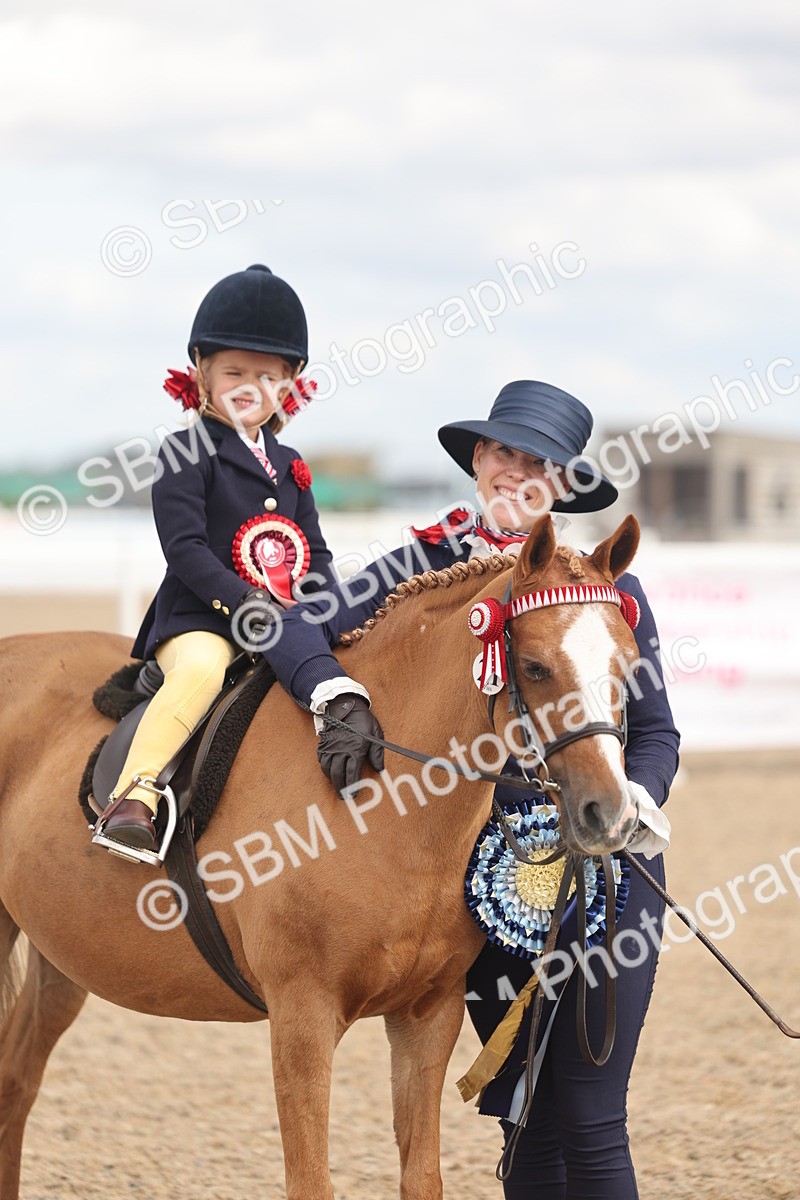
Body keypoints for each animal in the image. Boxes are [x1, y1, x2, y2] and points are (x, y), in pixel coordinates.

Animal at [0, 513, 641, 1199]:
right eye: (535, 666)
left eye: (629, 665)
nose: (610, 814)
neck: (381, 808)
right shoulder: (302, 1018)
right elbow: (310, 1179)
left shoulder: (428, 1014)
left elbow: (422, 1176)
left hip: (62, 956)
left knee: (16, 1080)